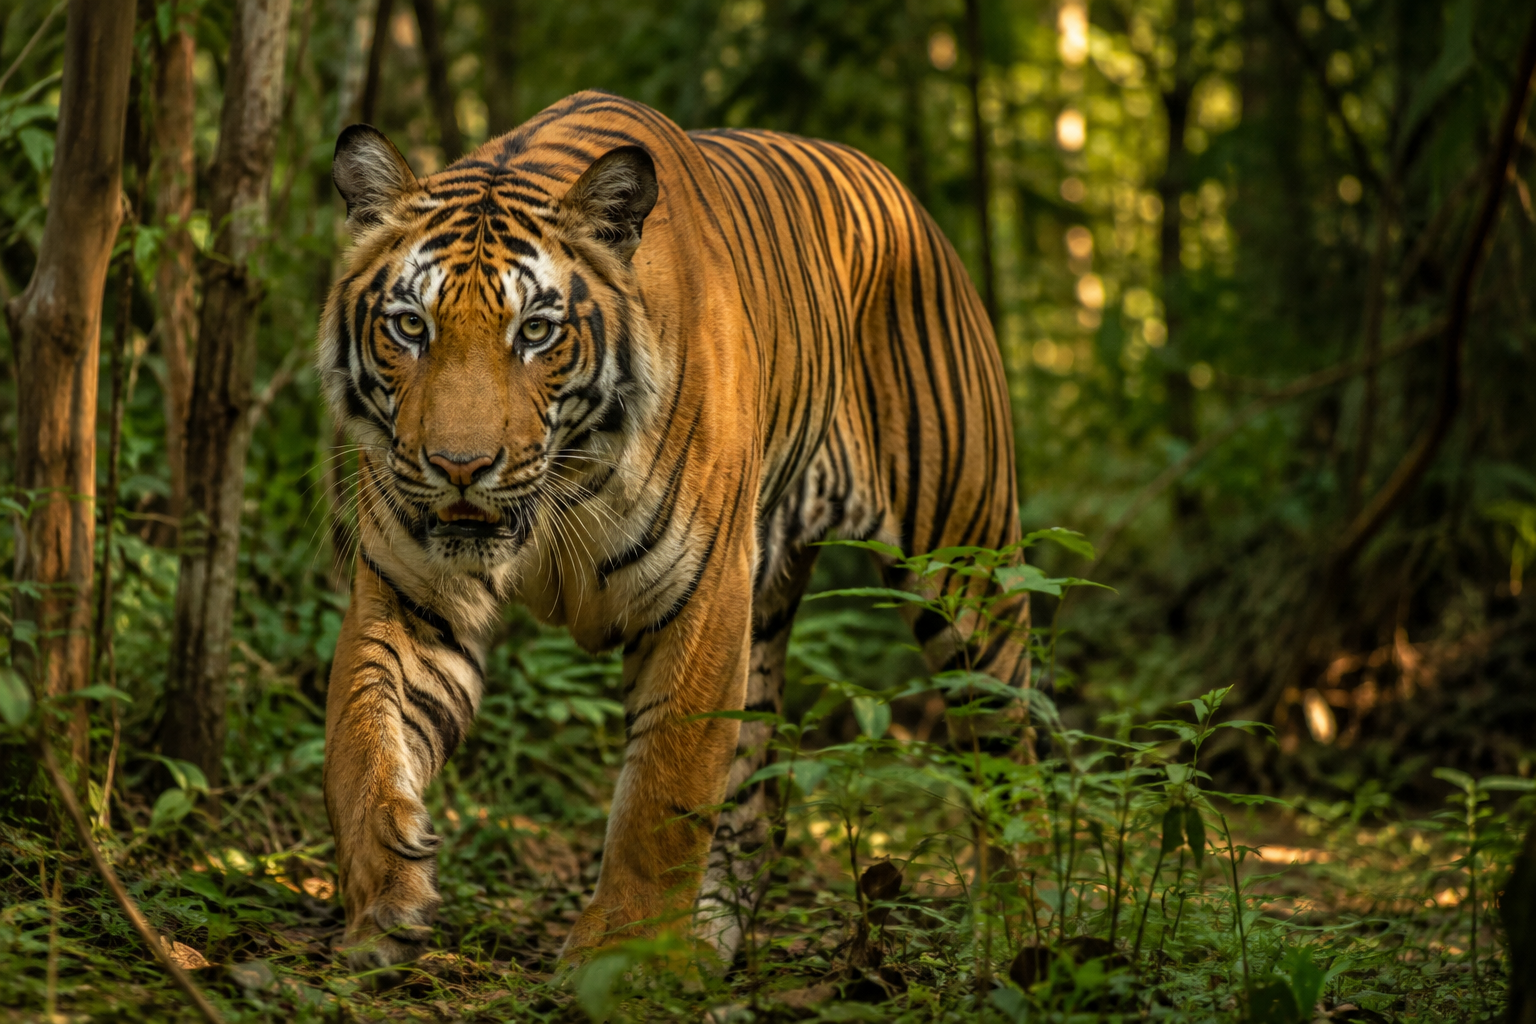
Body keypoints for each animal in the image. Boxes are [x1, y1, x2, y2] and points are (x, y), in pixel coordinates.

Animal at [318, 89, 1027, 975]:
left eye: (536, 333)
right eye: (410, 327)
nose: (459, 466)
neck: (562, 486)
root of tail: (905, 197)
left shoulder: (703, 594)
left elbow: (666, 790)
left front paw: (623, 957)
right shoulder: (411, 587)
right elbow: (361, 733)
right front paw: (386, 893)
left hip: (968, 568)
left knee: (1013, 758)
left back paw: (1017, 939)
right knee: (760, 804)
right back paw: (709, 943)